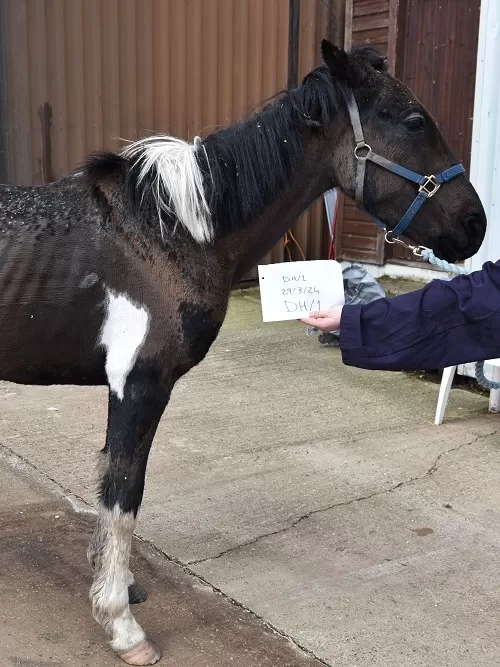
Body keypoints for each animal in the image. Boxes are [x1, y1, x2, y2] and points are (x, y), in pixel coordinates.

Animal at [0, 40, 484, 664]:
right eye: (414, 121)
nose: (475, 225)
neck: (171, 232)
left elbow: (114, 481)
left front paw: (118, 585)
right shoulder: (140, 384)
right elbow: (124, 492)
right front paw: (121, 624)